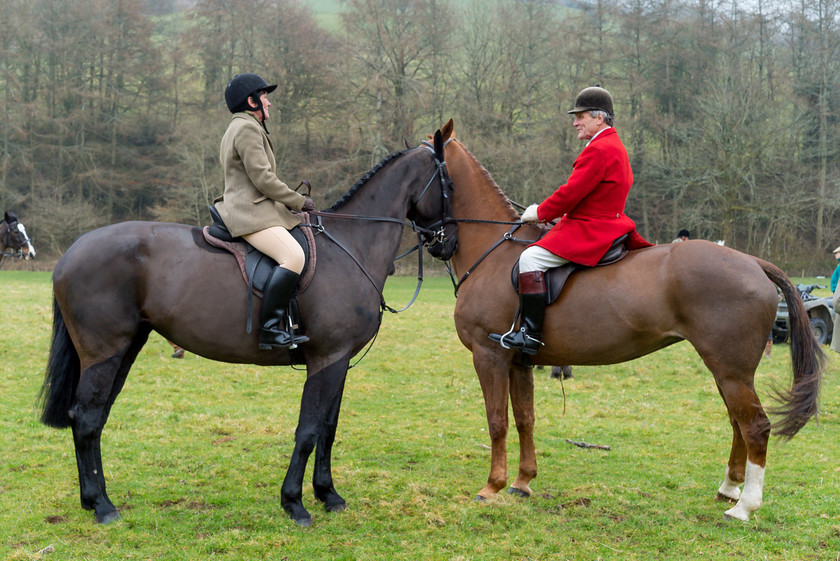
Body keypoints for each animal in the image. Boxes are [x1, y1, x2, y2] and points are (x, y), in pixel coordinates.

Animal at [37, 131, 460, 524]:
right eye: (451, 186)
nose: (450, 244)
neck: (351, 247)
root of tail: (72, 252)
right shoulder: (328, 357)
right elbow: (309, 429)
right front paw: (294, 503)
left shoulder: (340, 361)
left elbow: (328, 427)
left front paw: (329, 495)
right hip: (104, 352)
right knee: (87, 418)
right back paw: (103, 506)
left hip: (125, 350)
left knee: (94, 417)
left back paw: (93, 500)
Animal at [436, 119, 824, 520]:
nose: (436, 243)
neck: (493, 252)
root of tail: (753, 262)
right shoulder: (519, 361)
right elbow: (524, 418)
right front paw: (522, 483)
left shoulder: (490, 355)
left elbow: (496, 420)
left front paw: (492, 487)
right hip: (729, 370)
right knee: (738, 421)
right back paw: (729, 489)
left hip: (731, 370)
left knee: (756, 426)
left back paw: (745, 506)